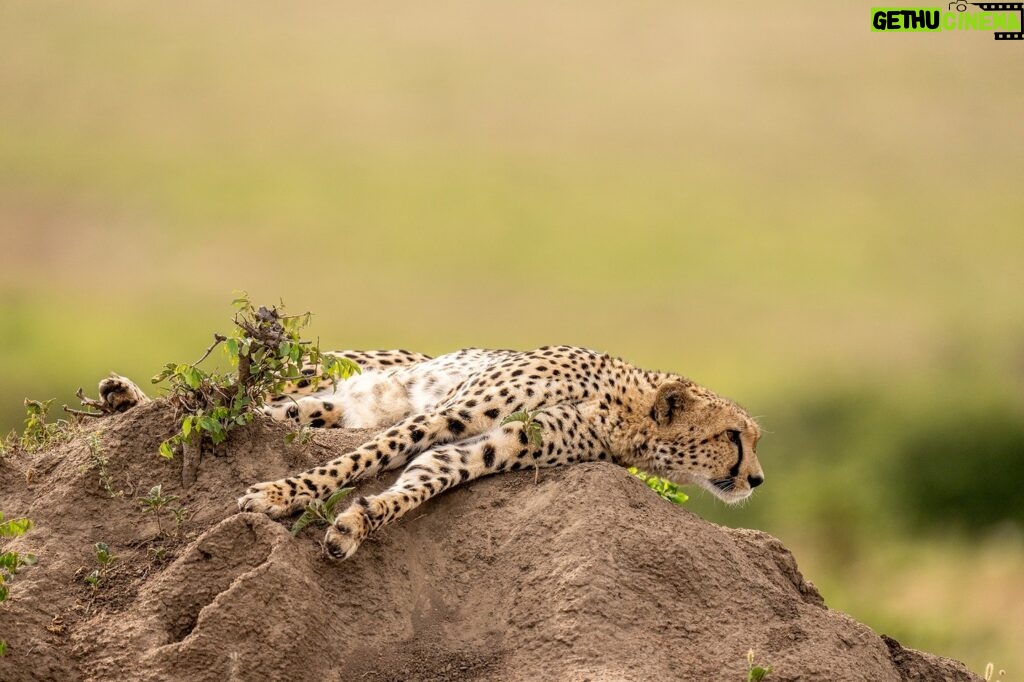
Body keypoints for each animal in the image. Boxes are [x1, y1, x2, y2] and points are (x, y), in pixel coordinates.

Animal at [99, 346, 765, 557]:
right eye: (735, 436)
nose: (757, 480)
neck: (619, 409)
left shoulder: (490, 445)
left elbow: (423, 477)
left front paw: (354, 524)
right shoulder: (446, 413)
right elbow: (364, 458)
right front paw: (281, 493)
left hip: (327, 405)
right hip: (315, 374)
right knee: (223, 402)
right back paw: (124, 397)